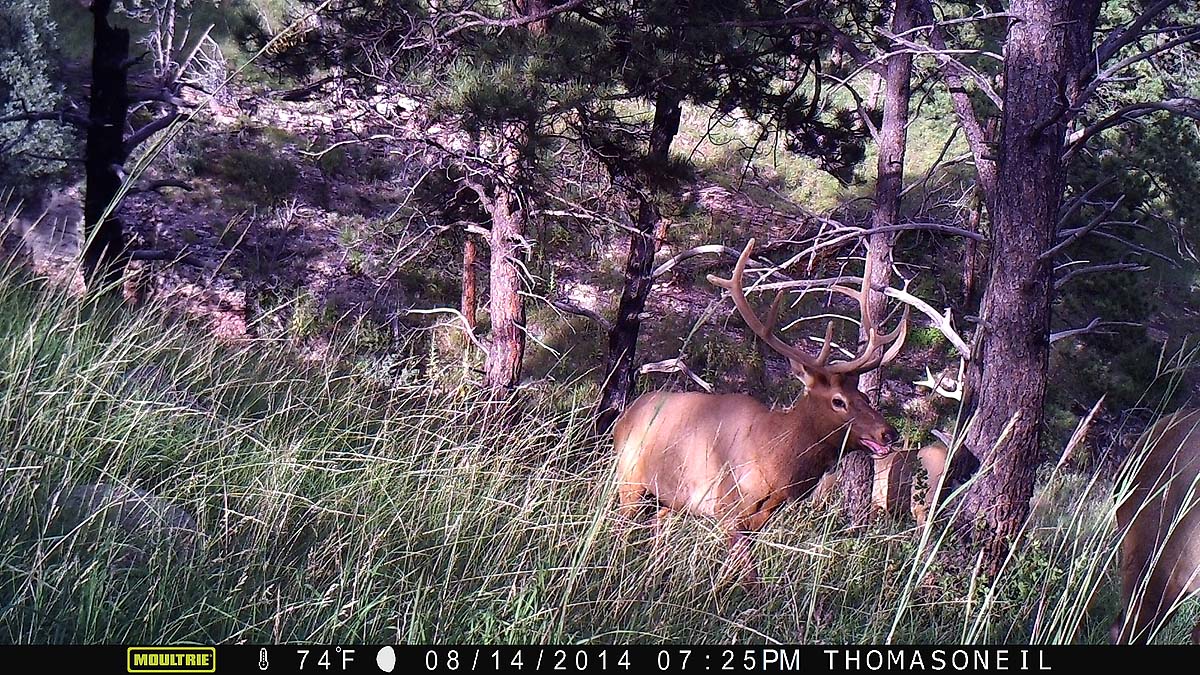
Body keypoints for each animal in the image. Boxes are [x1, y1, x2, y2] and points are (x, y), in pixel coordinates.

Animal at [611, 238, 909, 584]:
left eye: (863, 395)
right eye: (838, 401)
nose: (889, 433)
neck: (774, 459)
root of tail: (625, 415)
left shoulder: (759, 518)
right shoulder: (725, 506)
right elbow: (749, 576)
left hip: (669, 499)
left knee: (657, 531)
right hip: (630, 480)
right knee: (622, 528)